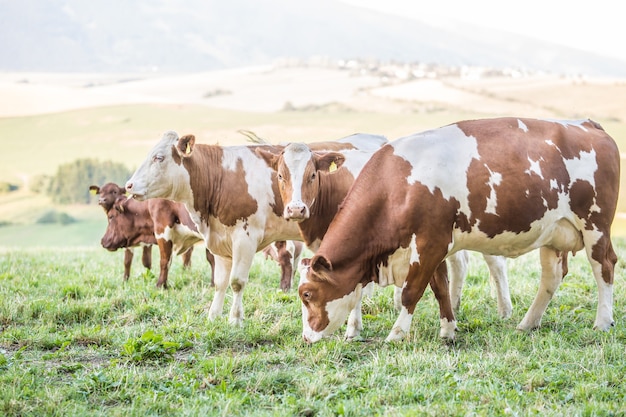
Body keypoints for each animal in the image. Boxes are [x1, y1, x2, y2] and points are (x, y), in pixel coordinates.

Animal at [123, 130, 386, 324]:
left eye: (159, 157)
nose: (129, 185)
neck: (221, 176)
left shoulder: (245, 237)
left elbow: (237, 281)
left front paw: (235, 320)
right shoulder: (220, 239)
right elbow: (220, 281)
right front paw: (213, 316)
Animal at [255, 142, 512, 338]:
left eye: (312, 175)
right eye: (280, 176)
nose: (296, 209)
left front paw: (353, 330)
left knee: (495, 264)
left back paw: (505, 310)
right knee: (460, 264)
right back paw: (456, 305)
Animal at [298, 117, 620, 342]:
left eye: (307, 294)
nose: (306, 337)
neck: (395, 185)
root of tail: (587, 124)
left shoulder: (430, 243)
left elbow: (412, 292)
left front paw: (396, 334)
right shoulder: (434, 246)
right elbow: (441, 288)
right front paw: (448, 331)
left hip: (595, 224)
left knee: (604, 266)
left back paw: (602, 322)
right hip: (554, 231)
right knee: (551, 277)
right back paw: (527, 323)